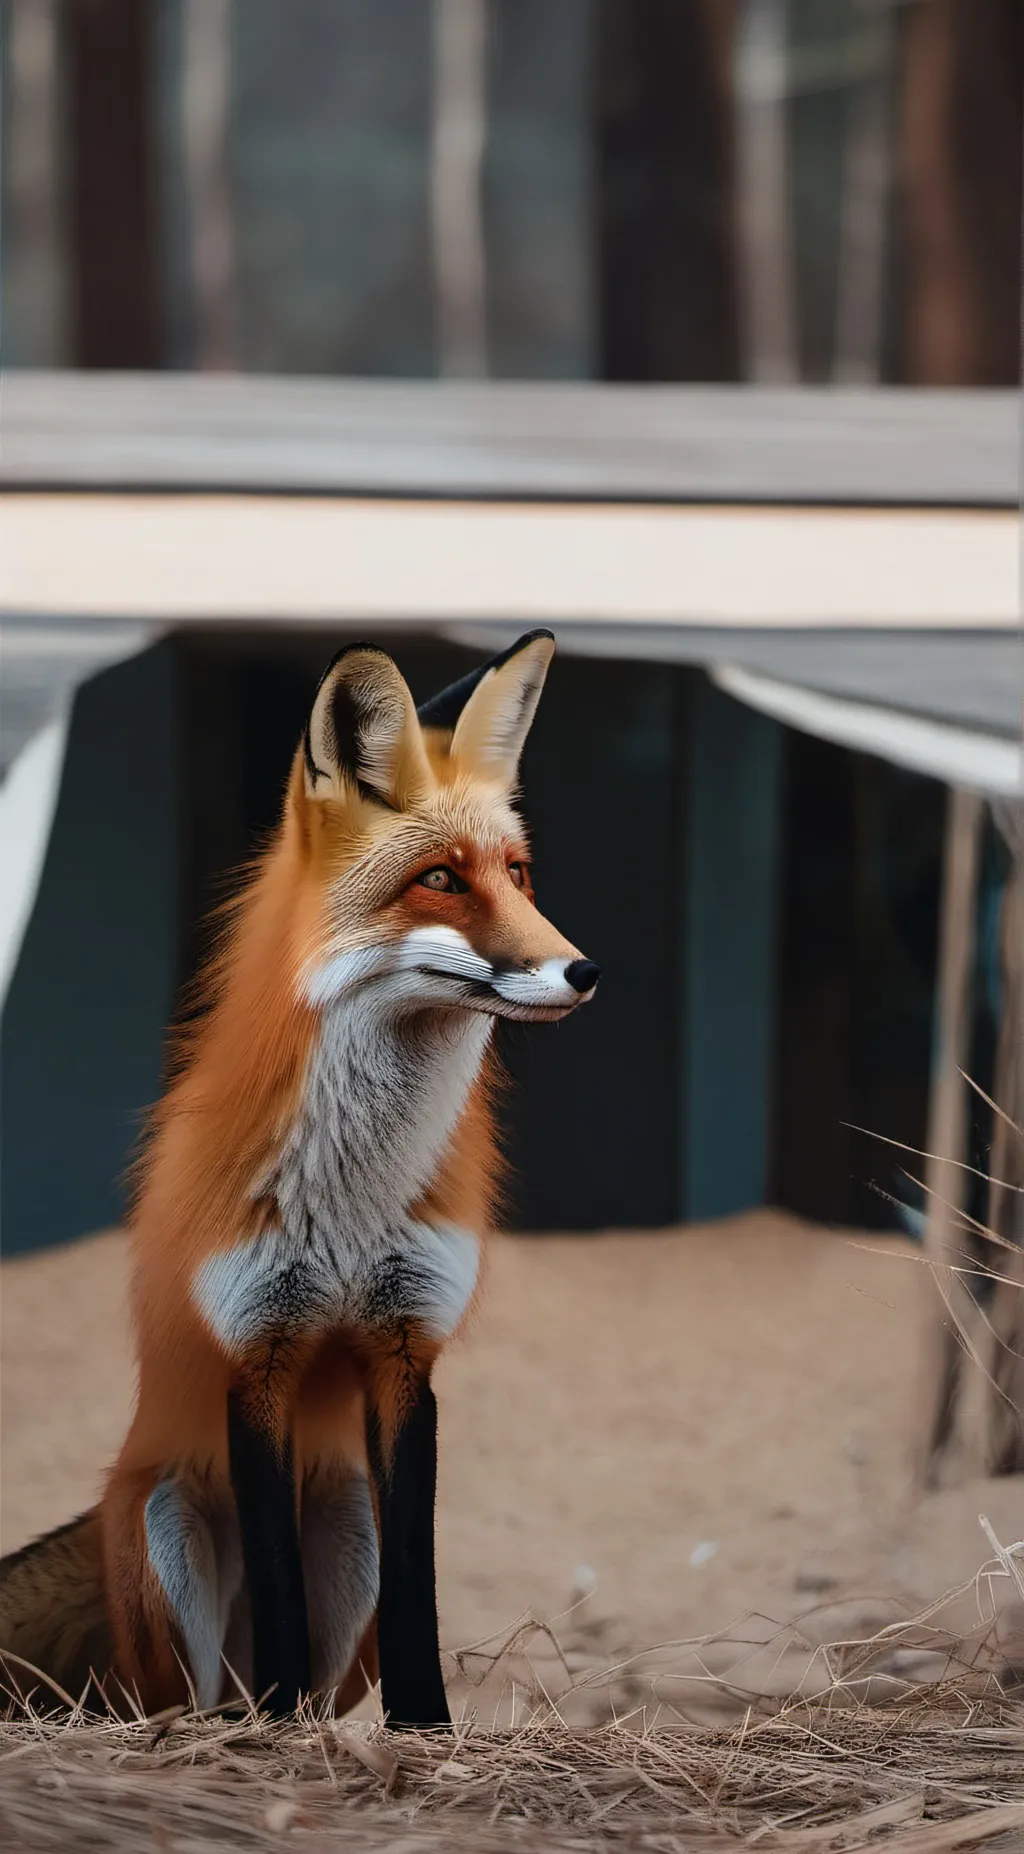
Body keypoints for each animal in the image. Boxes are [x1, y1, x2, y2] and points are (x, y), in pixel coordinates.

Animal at [0, 631, 599, 1727]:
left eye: (519, 873)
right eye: (442, 879)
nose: (583, 972)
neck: (355, 1201)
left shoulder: (408, 1353)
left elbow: (421, 1582)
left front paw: (424, 1727)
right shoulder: (257, 1356)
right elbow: (276, 1578)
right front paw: (275, 1735)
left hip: (347, 1526)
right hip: (168, 1532)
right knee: (192, 1696)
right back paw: (244, 1721)